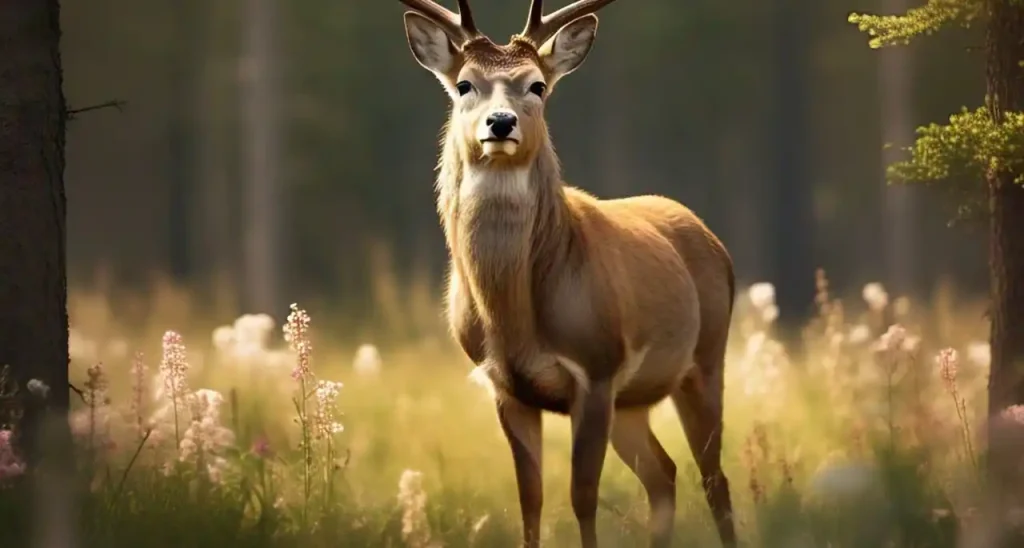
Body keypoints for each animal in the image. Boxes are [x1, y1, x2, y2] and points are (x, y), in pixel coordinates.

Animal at [395, 1, 737, 546]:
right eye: (465, 84)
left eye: (537, 85)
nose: (500, 122)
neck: (515, 318)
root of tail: (711, 238)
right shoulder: (506, 387)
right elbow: (530, 501)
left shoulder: (596, 369)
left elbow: (582, 496)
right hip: (633, 401)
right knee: (664, 474)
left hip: (705, 361)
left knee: (714, 480)